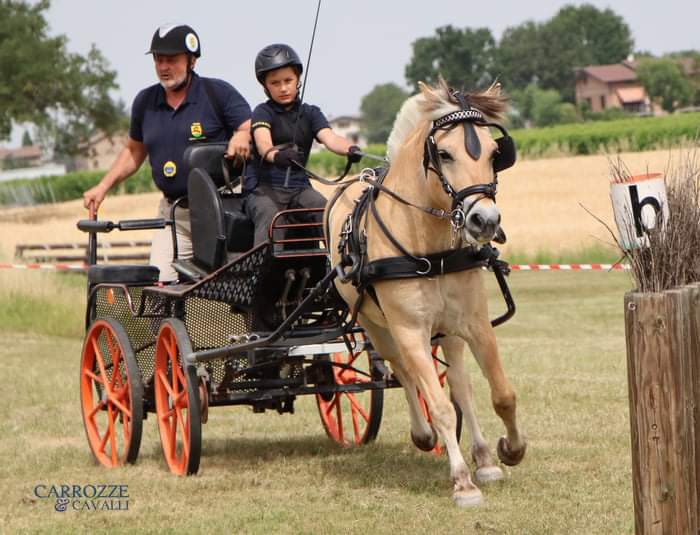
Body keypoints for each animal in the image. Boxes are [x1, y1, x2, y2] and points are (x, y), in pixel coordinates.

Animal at [326, 78, 528, 506]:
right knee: (402, 371)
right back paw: (423, 435)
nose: (485, 221)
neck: (429, 247)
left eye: (493, 153)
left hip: (447, 330)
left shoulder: (475, 323)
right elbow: (438, 404)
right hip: (377, 325)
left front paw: (509, 450)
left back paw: (483, 459)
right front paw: (462, 482)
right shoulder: (409, 330)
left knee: (460, 385)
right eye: (445, 154)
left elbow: (500, 393)